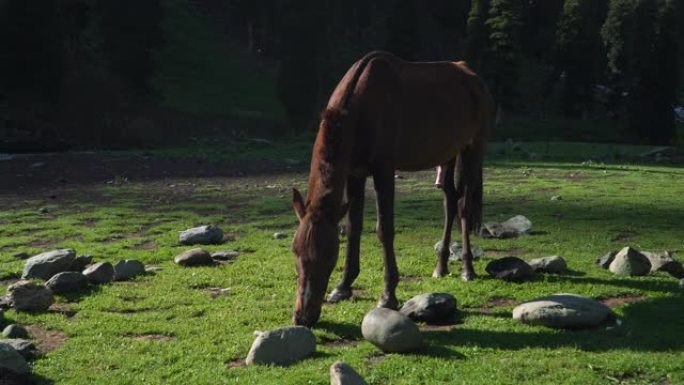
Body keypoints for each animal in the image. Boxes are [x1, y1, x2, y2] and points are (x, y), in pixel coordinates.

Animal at [288, 50, 492, 328]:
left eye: (329, 254)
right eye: (295, 250)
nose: (303, 317)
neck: (359, 110)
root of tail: (474, 78)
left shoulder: (383, 170)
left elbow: (384, 229)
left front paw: (388, 295)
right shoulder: (354, 173)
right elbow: (353, 227)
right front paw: (343, 287)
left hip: (472, 148)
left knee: (463, 205)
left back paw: (467, 269)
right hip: (448, 154)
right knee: (450, 202)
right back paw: (440, 266)